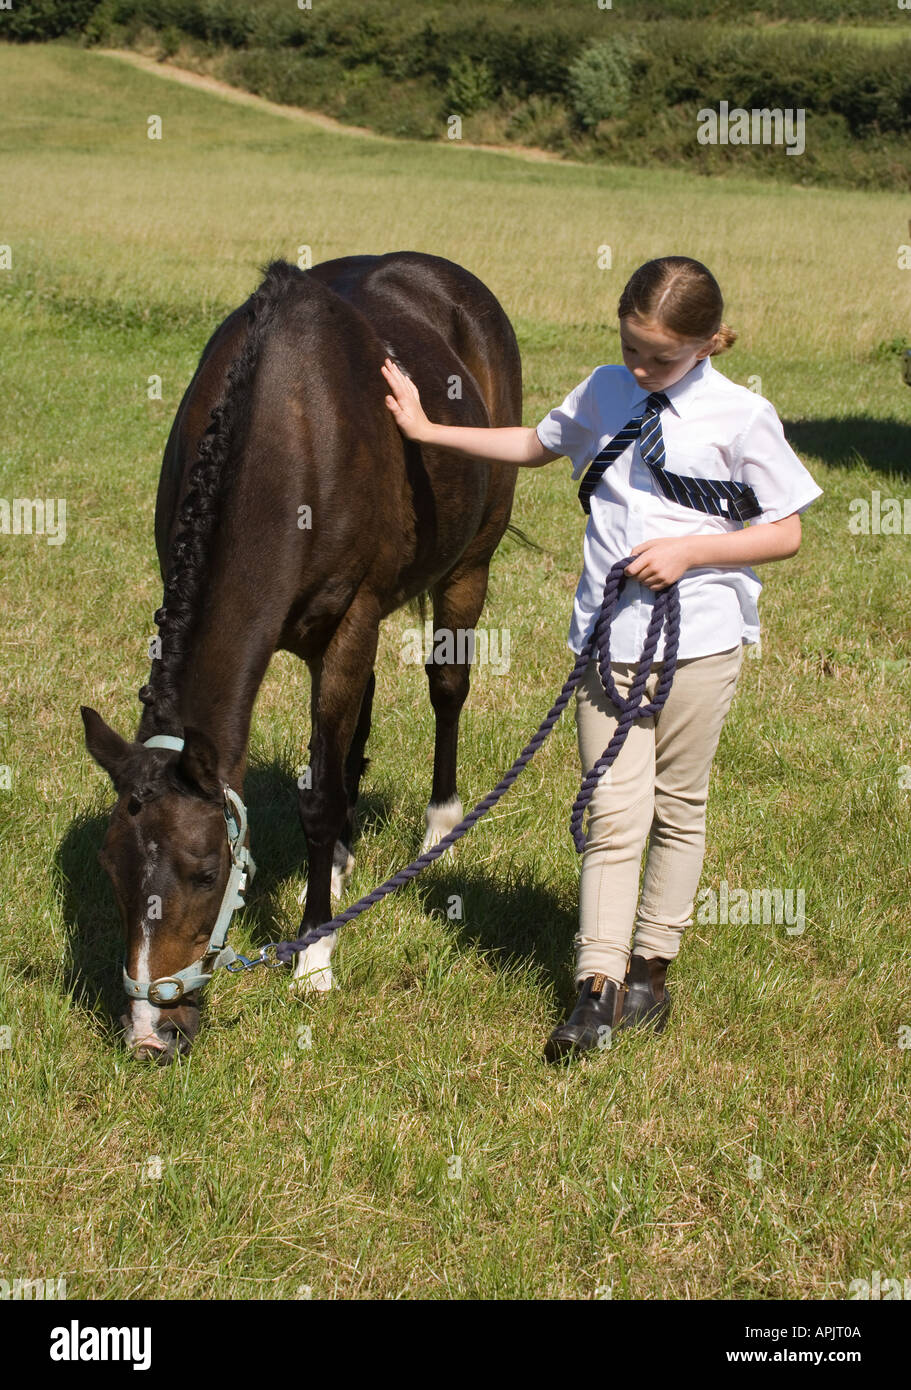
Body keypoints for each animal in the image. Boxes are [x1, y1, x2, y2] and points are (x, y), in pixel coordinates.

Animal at [82, 255, 522, 1061]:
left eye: (204, 872)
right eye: (111, 866)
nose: (150, 1037)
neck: (292, 433)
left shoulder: (351, 621)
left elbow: (317, 798)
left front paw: (314, 955)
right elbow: (330, 764)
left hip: (469, 566)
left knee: (447, 688)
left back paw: (440, 829)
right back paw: (346, 857)